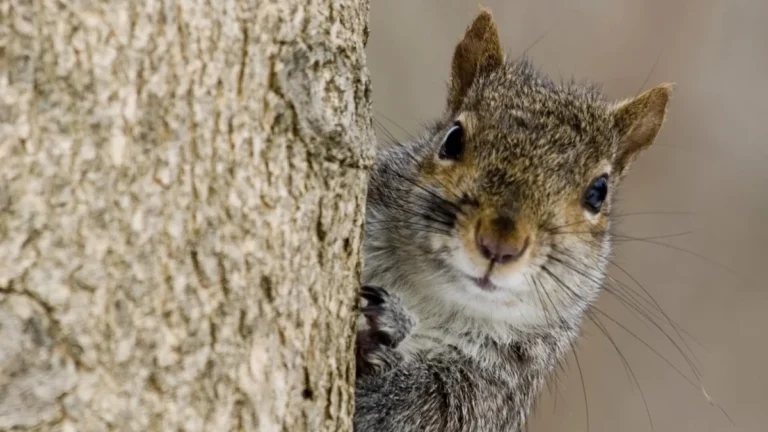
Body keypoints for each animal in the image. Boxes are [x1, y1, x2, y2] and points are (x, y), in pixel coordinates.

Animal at [354, 8, 672, 432]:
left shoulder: (486, 396)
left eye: (598, 191)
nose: (499, 245)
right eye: (452, 138)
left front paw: (382, 328)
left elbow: (398, 413)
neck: (430, 300)